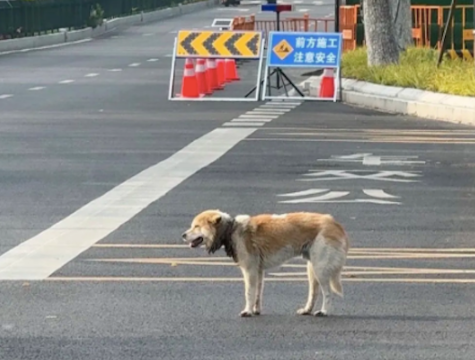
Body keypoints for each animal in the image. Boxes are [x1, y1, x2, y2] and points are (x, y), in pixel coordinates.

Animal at [182, 211, 350, 318]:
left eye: (196, 226)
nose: (183, 235)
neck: (232, 230)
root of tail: (335, 223)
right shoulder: (258, 271)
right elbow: (258, 293)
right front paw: (256, 310)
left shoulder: (249, 270)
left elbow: (249, 293)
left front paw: (247, 311)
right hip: (312, 269)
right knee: (314, 293)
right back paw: (307, 310)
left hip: (320, 268)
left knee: (327, 292)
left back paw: (324, 311)